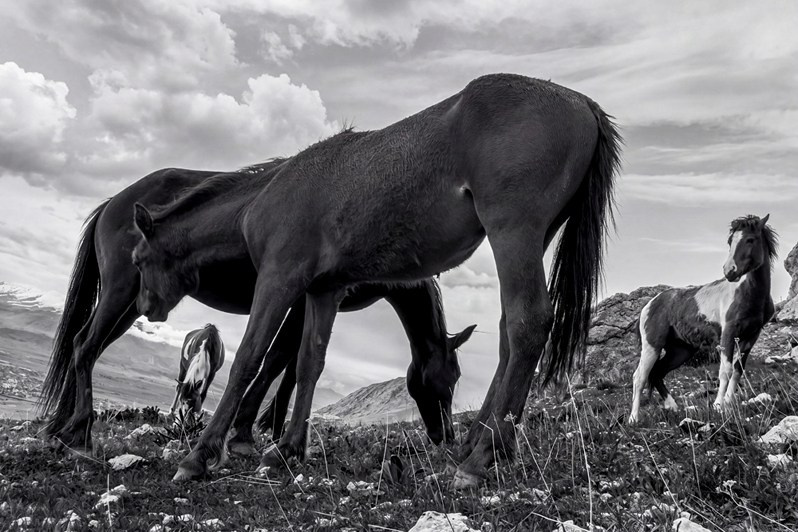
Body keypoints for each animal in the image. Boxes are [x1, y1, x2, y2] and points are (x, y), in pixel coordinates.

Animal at [39, 161, 475, 457]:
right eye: (449, 379)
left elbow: (292, 364)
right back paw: (78, 430)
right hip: (120, 292)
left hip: (131, 305)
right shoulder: (298, 296)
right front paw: (249, 430)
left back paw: (62, 426)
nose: (447, 437)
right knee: (85, 346)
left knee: (85, 345)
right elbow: (277, 359)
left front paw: (271, 429)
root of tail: (113, 203)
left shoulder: (309, 299)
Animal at [131, 73, 622, 487]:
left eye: (137, 259)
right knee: (507, 336)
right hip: (532, 238)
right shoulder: (323, 291)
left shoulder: (278, 280)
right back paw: (482, 446)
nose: (146, 308)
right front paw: (286, 450)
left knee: (527, 325)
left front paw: (201, 456)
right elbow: (308, 364)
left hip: (513, 232)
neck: (269, 193)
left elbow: (251, 360)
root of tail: (583, 104)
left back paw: (480, 459)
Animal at [628, 215, 777, 424]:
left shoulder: (751, 336)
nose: (729, 271)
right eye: (730, 241)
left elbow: (737, 371)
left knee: (657, 373)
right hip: (652, 346)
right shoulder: (728, 333)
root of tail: (648, 305)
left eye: (750, 240)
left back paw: (673, 407)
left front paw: (729, 406)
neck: (749, 294)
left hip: (681, 351)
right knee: (640, 377)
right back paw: (633, 419)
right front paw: (718, 406)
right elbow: (725, 370)